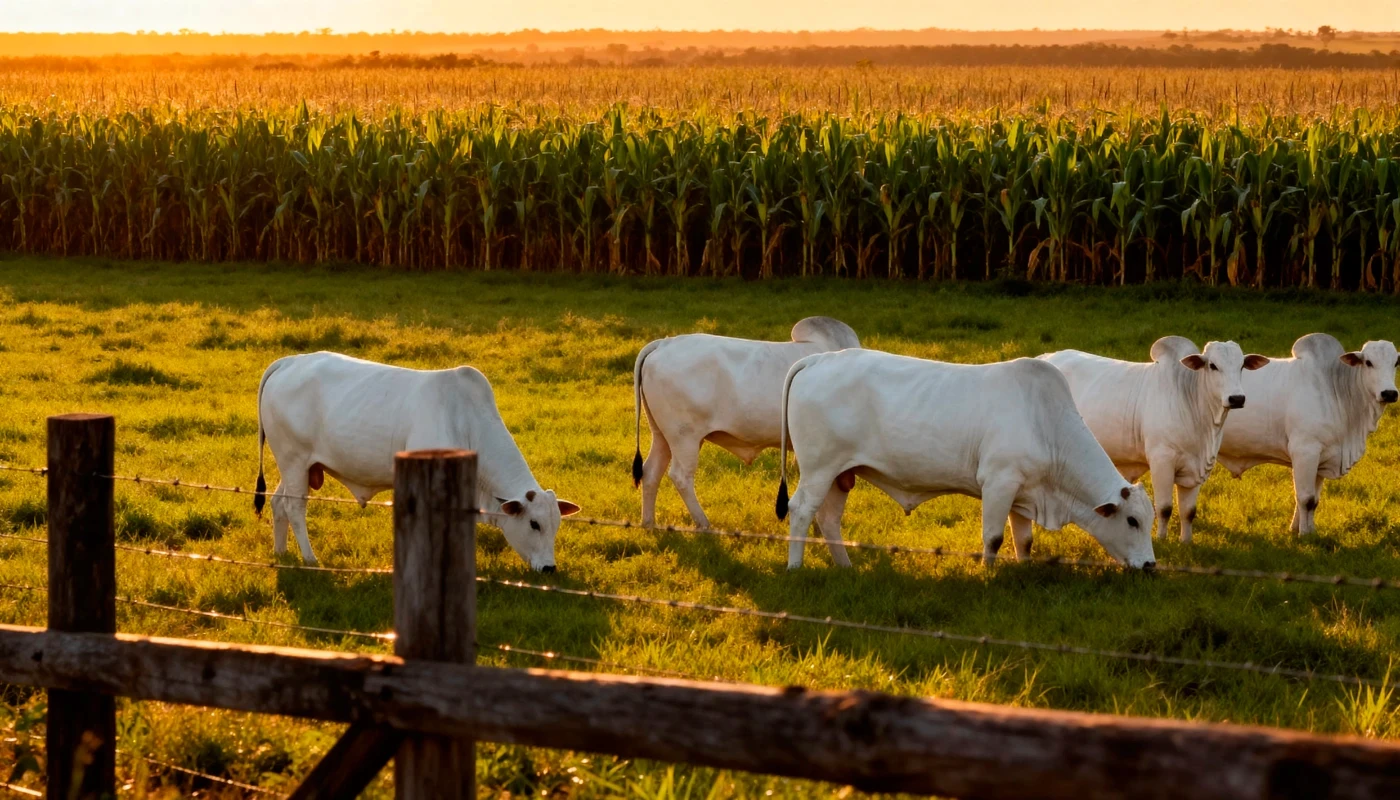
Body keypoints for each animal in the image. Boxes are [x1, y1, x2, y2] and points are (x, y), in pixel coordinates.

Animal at [253, 352, 580, 570]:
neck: (466, 422)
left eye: (556, 524)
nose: (549, 568)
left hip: (297, 466)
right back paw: (310, 558)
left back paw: (281, 554)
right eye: (534, 524)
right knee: (294, 508)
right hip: (294, 460)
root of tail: (289, 361)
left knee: (278, 503)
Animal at [630, 317, 860, 529]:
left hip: (662, 435)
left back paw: (649, 523)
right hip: (684, 437)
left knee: (651, 472)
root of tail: (663, 343)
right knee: (681, 476)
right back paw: (704, 524)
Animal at [775, 349, 1156, 570]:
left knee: (828, 519)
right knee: (801, 510)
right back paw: (796, 567)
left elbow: (1024, 540)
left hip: (841, 474)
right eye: (1132, 521)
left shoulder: (1024, 491)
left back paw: (845, 567)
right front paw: (989, 574)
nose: (1151, 564)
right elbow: (993, 538)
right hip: (818, 469)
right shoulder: (999, 482)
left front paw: (1023, 569)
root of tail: (818, 359)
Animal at [1040, 337, 1269, 543]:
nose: (1237, 398)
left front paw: (1186, 541)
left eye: (1241, 366)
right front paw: (1161, 538)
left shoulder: (1197, 469)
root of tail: (1045, 357)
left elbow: (1189, 511)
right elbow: (1165, 508)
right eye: (1213, 366)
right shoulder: (1162, 461)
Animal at [1216, 334, 1398, 536]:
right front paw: (1303, 534)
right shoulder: (1305, 451)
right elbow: (1306, 498)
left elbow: (1315, 500)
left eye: (1396, 362)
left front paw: (1307, 530)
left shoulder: (1322, 458)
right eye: (1368, 362)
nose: (1389, 393)